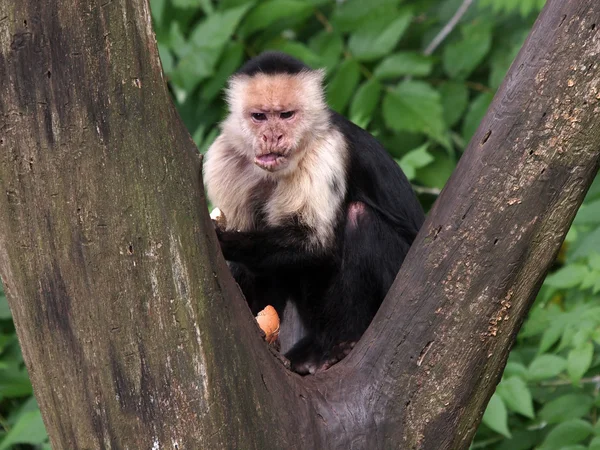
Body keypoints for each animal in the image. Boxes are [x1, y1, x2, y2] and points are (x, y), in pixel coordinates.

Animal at [206, 51, 426, 376]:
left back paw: (342, 344)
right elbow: (255, 268)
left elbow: (316, 244)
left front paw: (227, 241)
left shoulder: (325, 151)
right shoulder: (224, 159)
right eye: (259, 117)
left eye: (287, 115)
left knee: (359, 218)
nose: (273, 136)